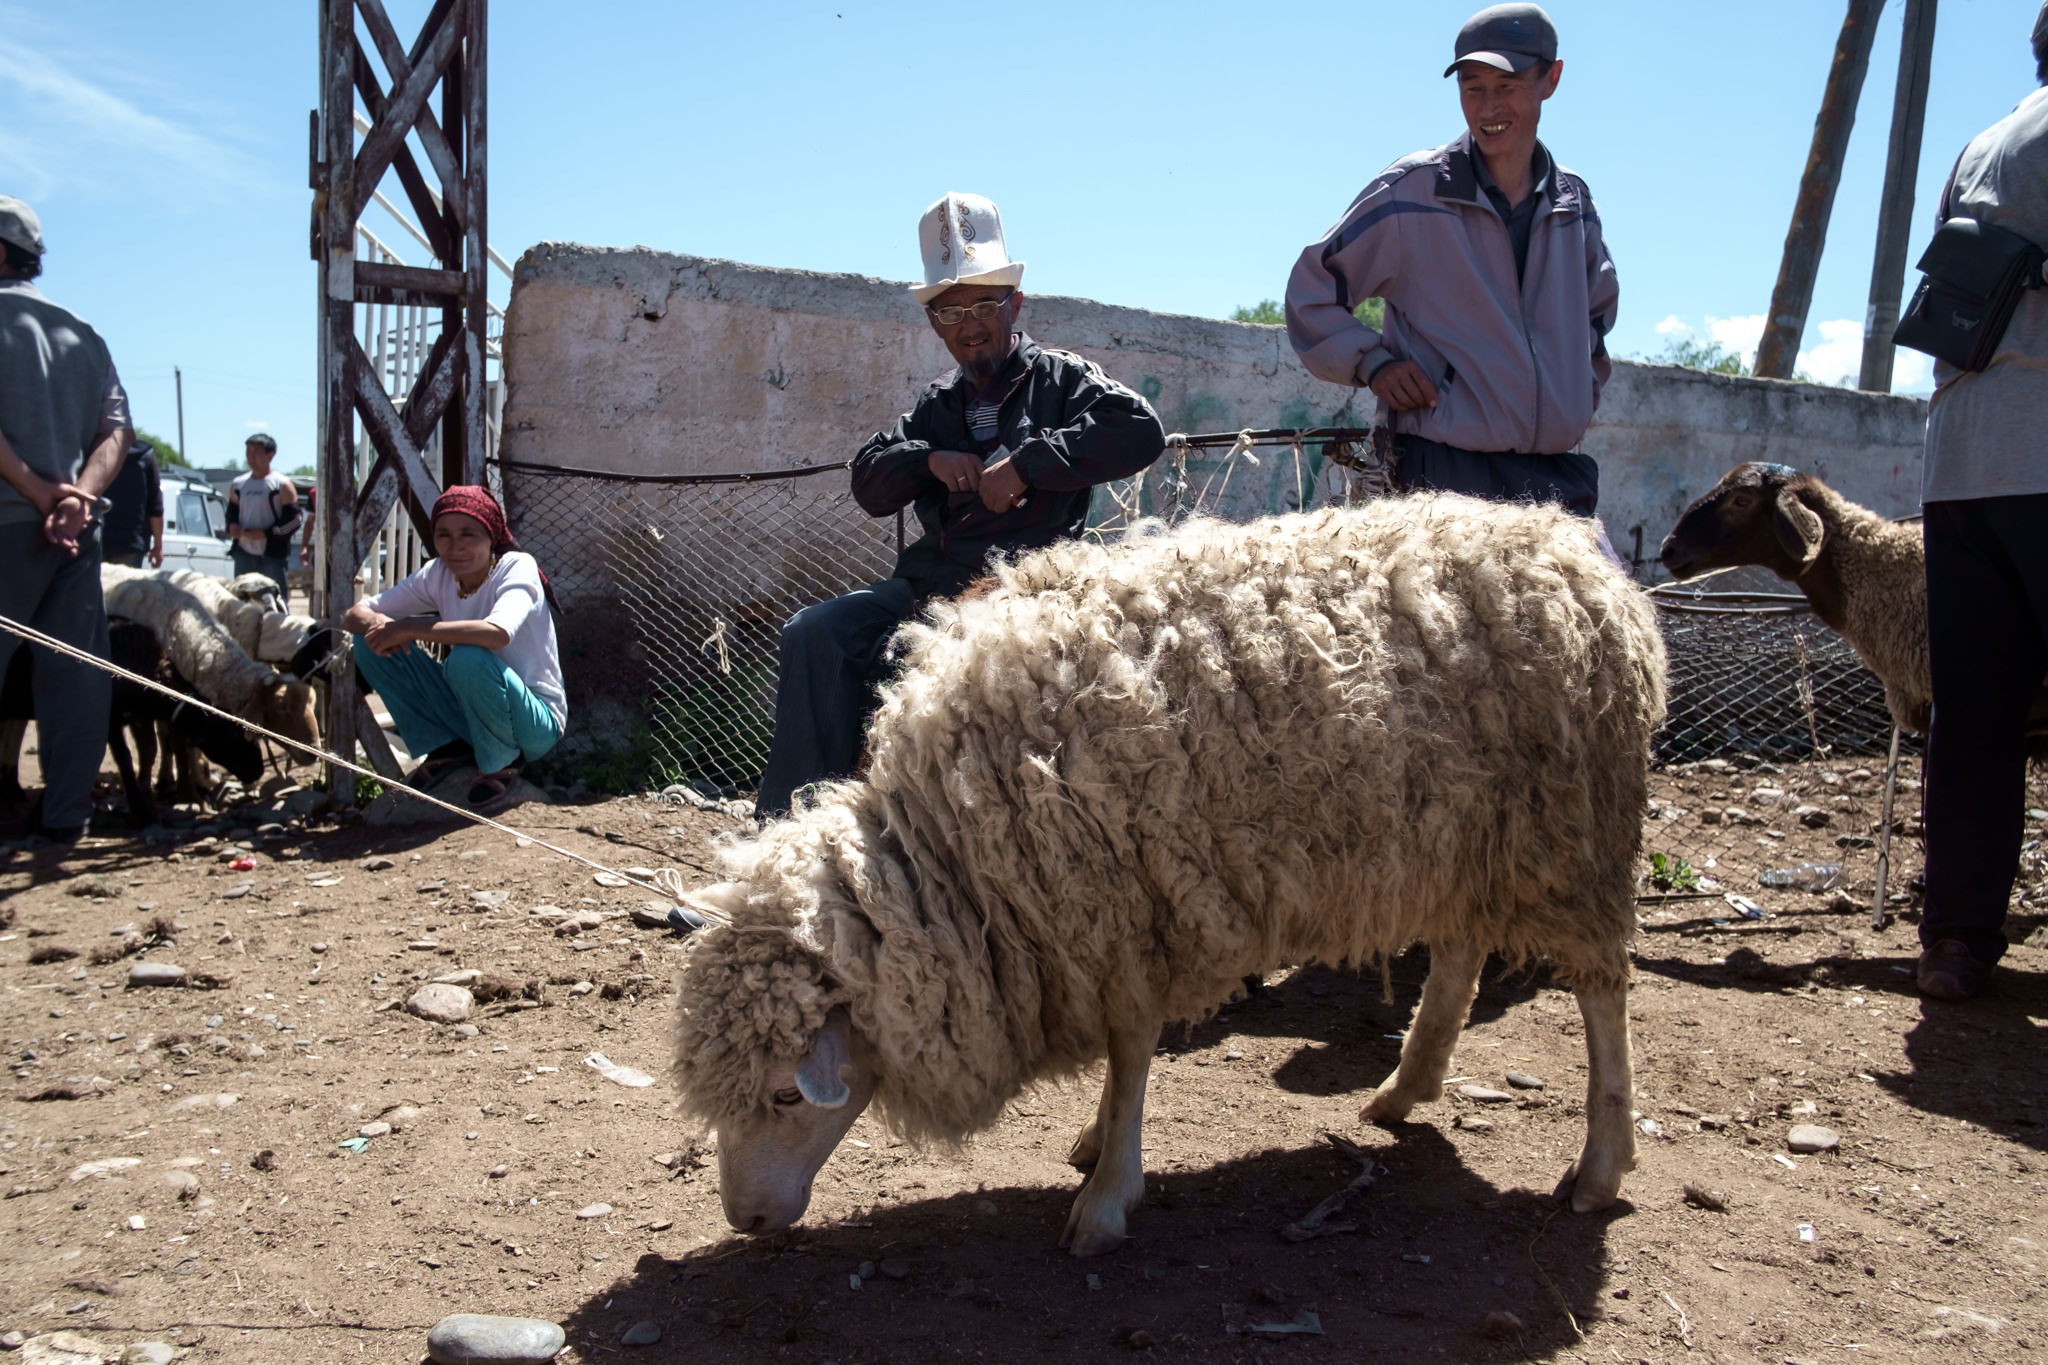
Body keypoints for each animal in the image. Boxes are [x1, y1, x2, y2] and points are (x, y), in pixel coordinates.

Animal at [671, 493, 1662, 1260]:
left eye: (785, 1093)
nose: (744, 1218)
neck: (954, 866)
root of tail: (1575, 543)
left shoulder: (1122, 908)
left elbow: (1134, 1049)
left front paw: (1108, 1191)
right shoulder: (1108, 920)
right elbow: (1125, 1052)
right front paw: (1096, 1140)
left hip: (1573, 833)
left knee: (1603, 990)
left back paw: (1600, 1163)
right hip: (1463, 834)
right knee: (1460, 951)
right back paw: (1404, 1087)